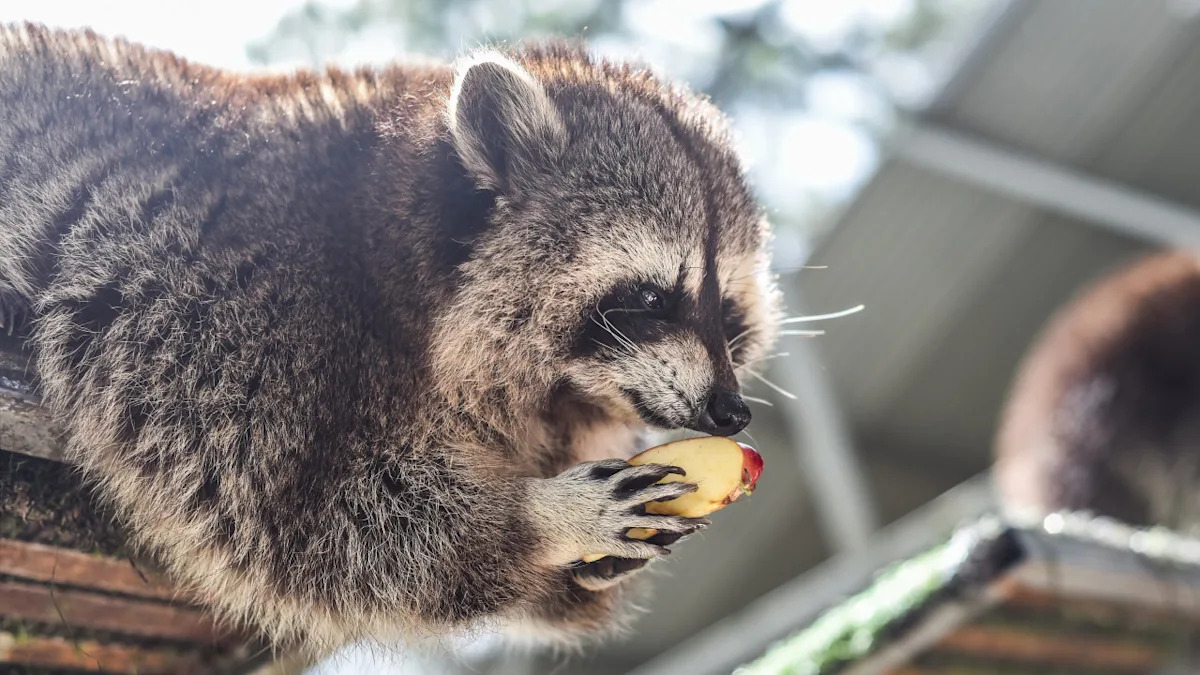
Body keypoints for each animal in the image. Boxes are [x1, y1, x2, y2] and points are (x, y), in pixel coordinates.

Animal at [0, 25, 780, 650]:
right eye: (651, 298)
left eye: (729, 316)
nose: (730, 410)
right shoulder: (241, 300)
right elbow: (305, 515)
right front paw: (535, 519)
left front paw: (581, 574)